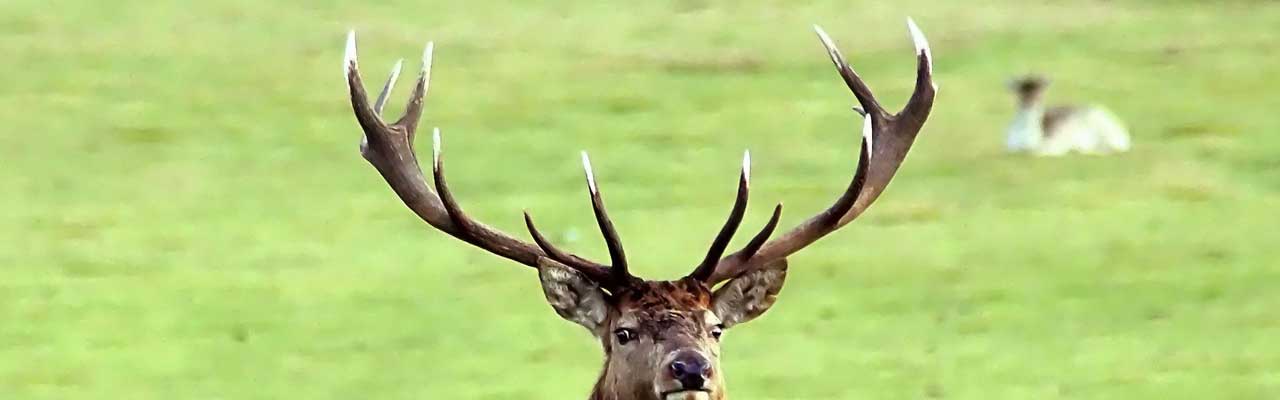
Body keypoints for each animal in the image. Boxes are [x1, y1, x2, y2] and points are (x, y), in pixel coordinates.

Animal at [998, 74, 1131, 155]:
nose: (1030, 103)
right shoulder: (1009, 146)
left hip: (1106, 132)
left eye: (1041, 92)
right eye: (1019, 92)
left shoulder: (1051, 145)